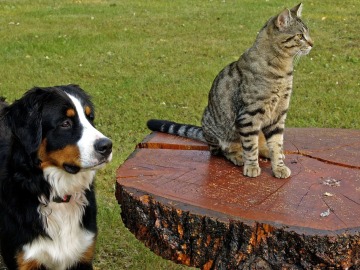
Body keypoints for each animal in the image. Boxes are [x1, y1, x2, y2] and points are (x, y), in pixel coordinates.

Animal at [146, 3, 312, 179]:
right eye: (300, 35)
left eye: (307, 34)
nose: (312, 43)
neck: (282, 70)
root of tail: (204, 133)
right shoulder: (249, 116)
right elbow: (250, 146)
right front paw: (251, 166)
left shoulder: (278, 115)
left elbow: (276, 144)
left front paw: (279, 166)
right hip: (215, 129)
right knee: (221, 151)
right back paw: (238, 156)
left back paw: (265, 151)